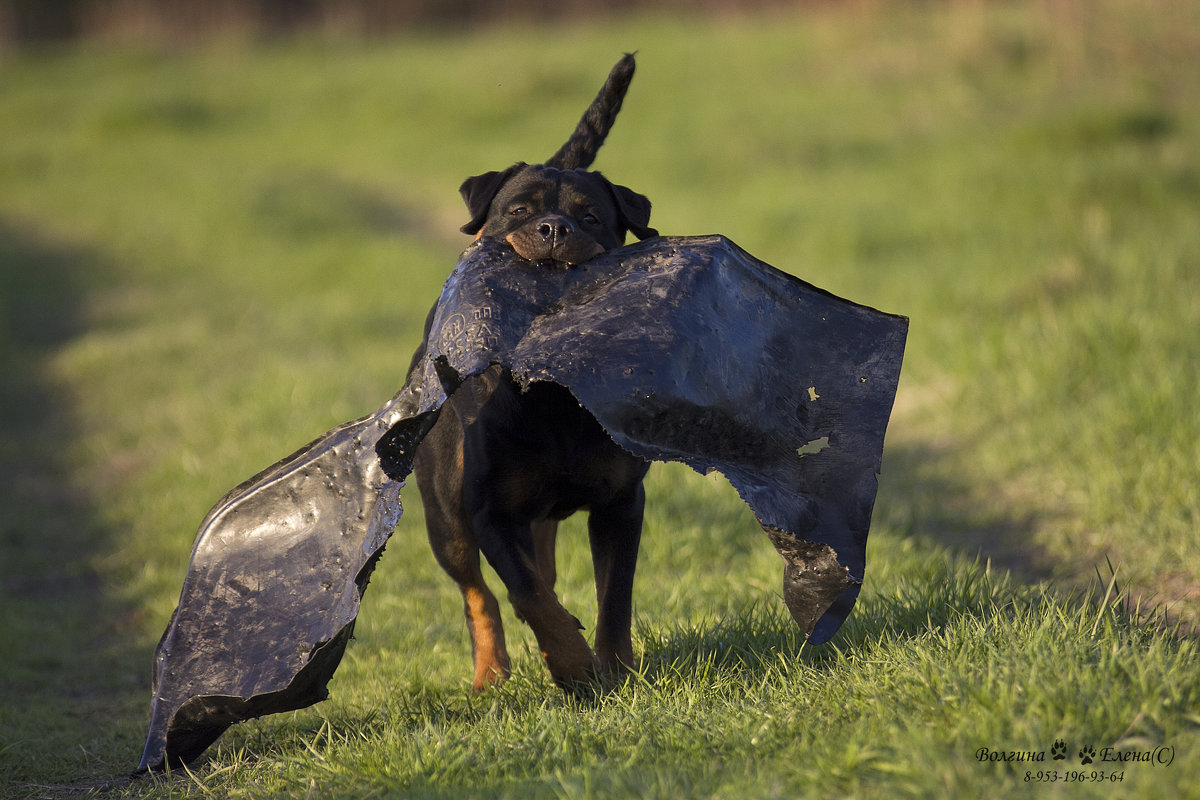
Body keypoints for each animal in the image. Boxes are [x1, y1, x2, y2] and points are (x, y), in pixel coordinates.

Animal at [410, 56, 657, 695]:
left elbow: (613, 598)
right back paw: (490, 674)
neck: (550, 394)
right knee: (479, 593)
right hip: (445, 515)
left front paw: (612, 669)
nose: (552, 228)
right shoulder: (489, 511)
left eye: (591, 216)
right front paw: (572, 666)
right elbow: (524, 593)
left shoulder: (621, 502)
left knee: (540, 569)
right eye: (519, 210)